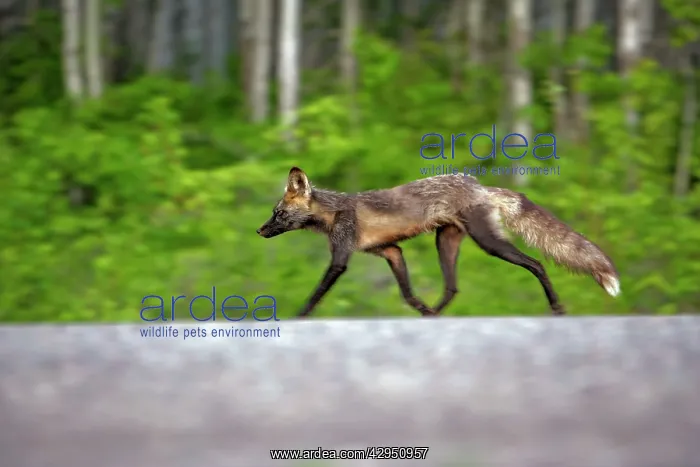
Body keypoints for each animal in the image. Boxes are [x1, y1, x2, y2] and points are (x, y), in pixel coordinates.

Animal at [257, 167, 620, 318]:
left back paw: (556, 306)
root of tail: (481, 186)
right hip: (445, 243)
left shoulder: (341, 257)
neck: (333, 213)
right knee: (452, 288)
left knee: (537, 263)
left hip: (489, 242)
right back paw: (435, 315)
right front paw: (422, 310)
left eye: (278, 214)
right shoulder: (391, 251)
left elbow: (316, 293)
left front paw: (299, 316)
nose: (260, 231)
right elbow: (408, 294)